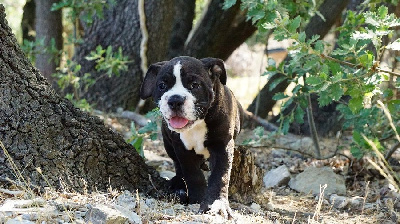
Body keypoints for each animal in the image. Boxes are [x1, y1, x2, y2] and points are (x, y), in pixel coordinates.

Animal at [139, 56, 242, 219]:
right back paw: (179, 187)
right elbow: (192, 174)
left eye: (195, 85)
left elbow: (220, 176)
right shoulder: (181, 148)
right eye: (162, 85)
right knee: (178, 166)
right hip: (168, 144)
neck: (198, 123)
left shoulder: (222, 146)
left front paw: (216, 204)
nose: (175, 100)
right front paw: (198, 198)